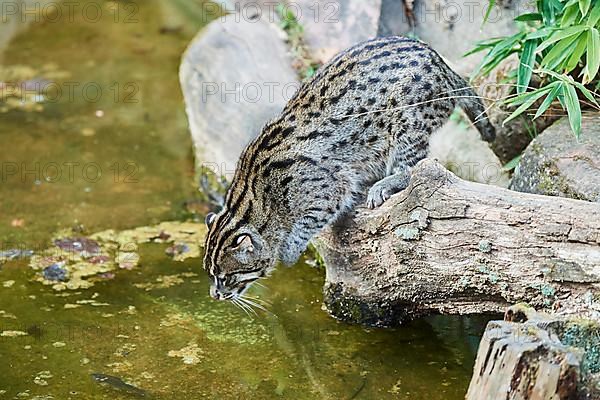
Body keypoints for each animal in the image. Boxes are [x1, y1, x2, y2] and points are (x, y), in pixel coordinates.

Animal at [202, 36, 492, 300]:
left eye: (226, 277)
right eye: (209, 273)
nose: (214, 295)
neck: (254, 201)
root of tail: (440, 63)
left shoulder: (330, 187)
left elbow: (312, 218)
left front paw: (289, 252)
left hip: (409, 122)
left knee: (412, 167)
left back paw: (386, 183)